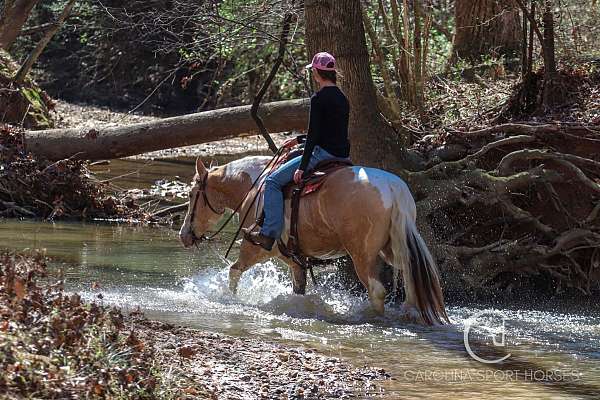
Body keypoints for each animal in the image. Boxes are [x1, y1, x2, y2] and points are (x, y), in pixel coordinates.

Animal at [180, 155, 448, 324]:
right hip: (393, 249)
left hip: (362, 256)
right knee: (410, 274)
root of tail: (393, 188)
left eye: (192, 195)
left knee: (377, 291)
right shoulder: (295, 261)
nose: (184, 236)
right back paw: (410, 312)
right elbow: (298, 290)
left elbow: (234, 272)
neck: (255, 189)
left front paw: (232, 300)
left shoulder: (255, 249)